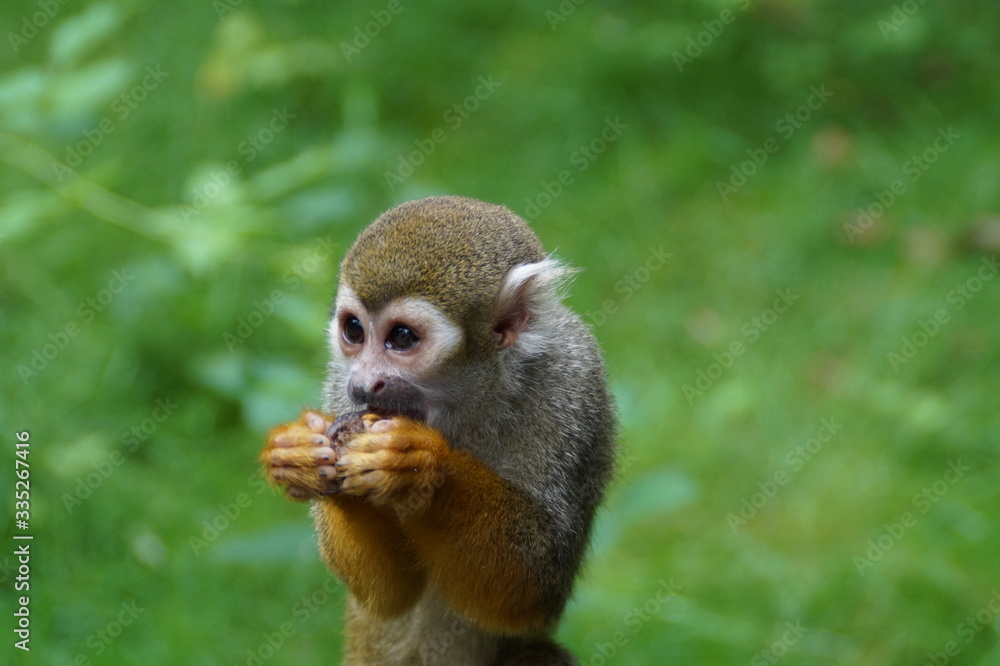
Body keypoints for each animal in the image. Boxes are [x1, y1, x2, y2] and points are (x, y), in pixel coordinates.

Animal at [262, 195, 616, 665]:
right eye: (353, 330)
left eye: (402, 337)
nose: (364, 384)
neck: (464, 404)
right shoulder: (337, 382)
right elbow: (388, 596)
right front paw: (304, 453)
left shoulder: (573, 384)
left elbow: (530, 591)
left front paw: (420, 464)